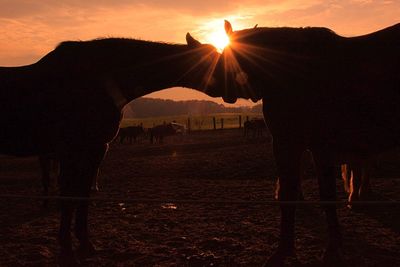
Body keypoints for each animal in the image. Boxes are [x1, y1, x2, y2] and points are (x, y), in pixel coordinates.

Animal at [0, 34, 220, 266]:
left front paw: (85, 244)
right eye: (210, 59)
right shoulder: (70, 152)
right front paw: (67, 250)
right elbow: (68, 196)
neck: (95, 80)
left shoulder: (95, 150)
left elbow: (83, 195)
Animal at [214, 19, 400, 266]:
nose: (217, 84)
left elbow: (306, 195)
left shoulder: (302, 146)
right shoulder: (309, 148)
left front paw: (291, 251)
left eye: (231, 53)